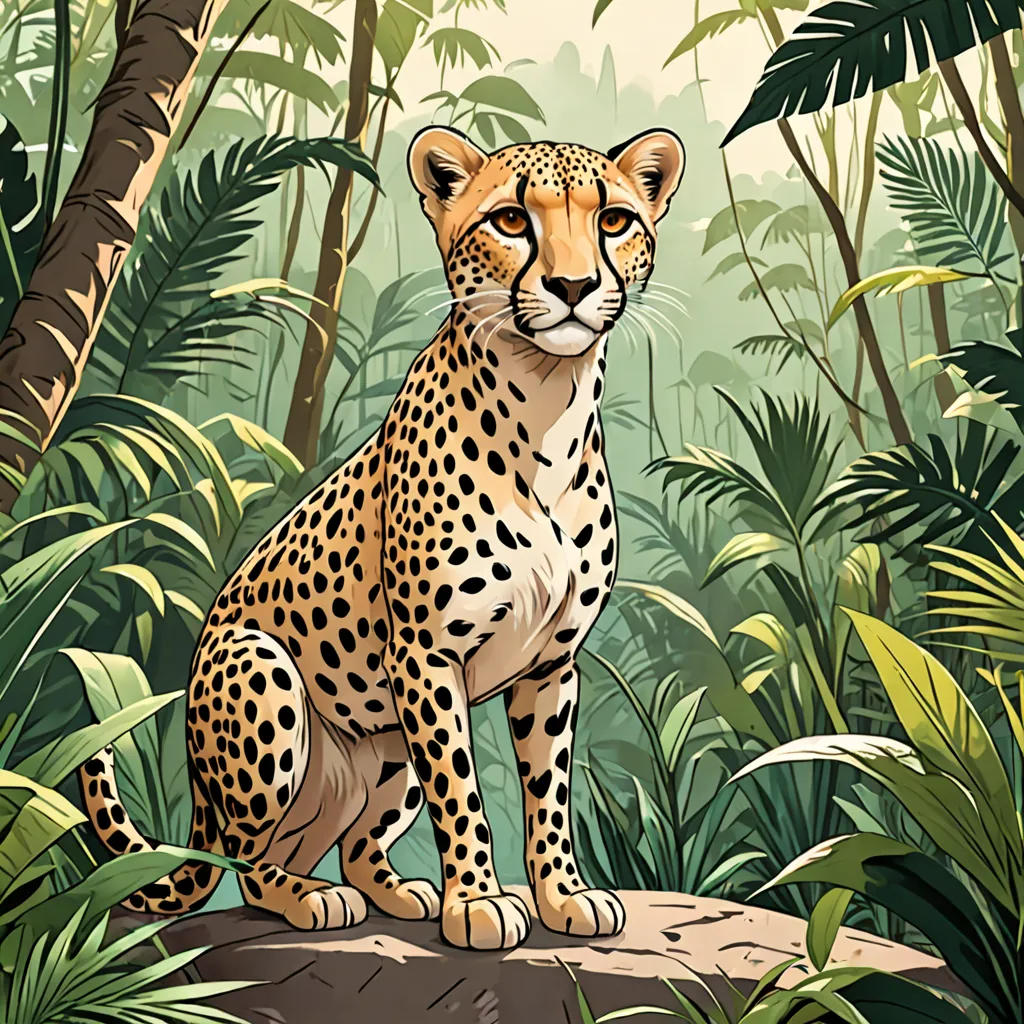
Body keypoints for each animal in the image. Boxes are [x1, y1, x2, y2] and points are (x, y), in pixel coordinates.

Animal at [80, 125, 685, 951]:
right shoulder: (426, 655)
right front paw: (480, 904)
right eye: (511, 221)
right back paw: (310, 899)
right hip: (264, 676)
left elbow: (548, 793)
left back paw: (398, 893)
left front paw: (562, 895)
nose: (573, 286)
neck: (547, 404)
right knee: (246, 858)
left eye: (616, 221)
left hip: (386, 748)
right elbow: (463, 790)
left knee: (347, 845)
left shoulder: (551, 665)